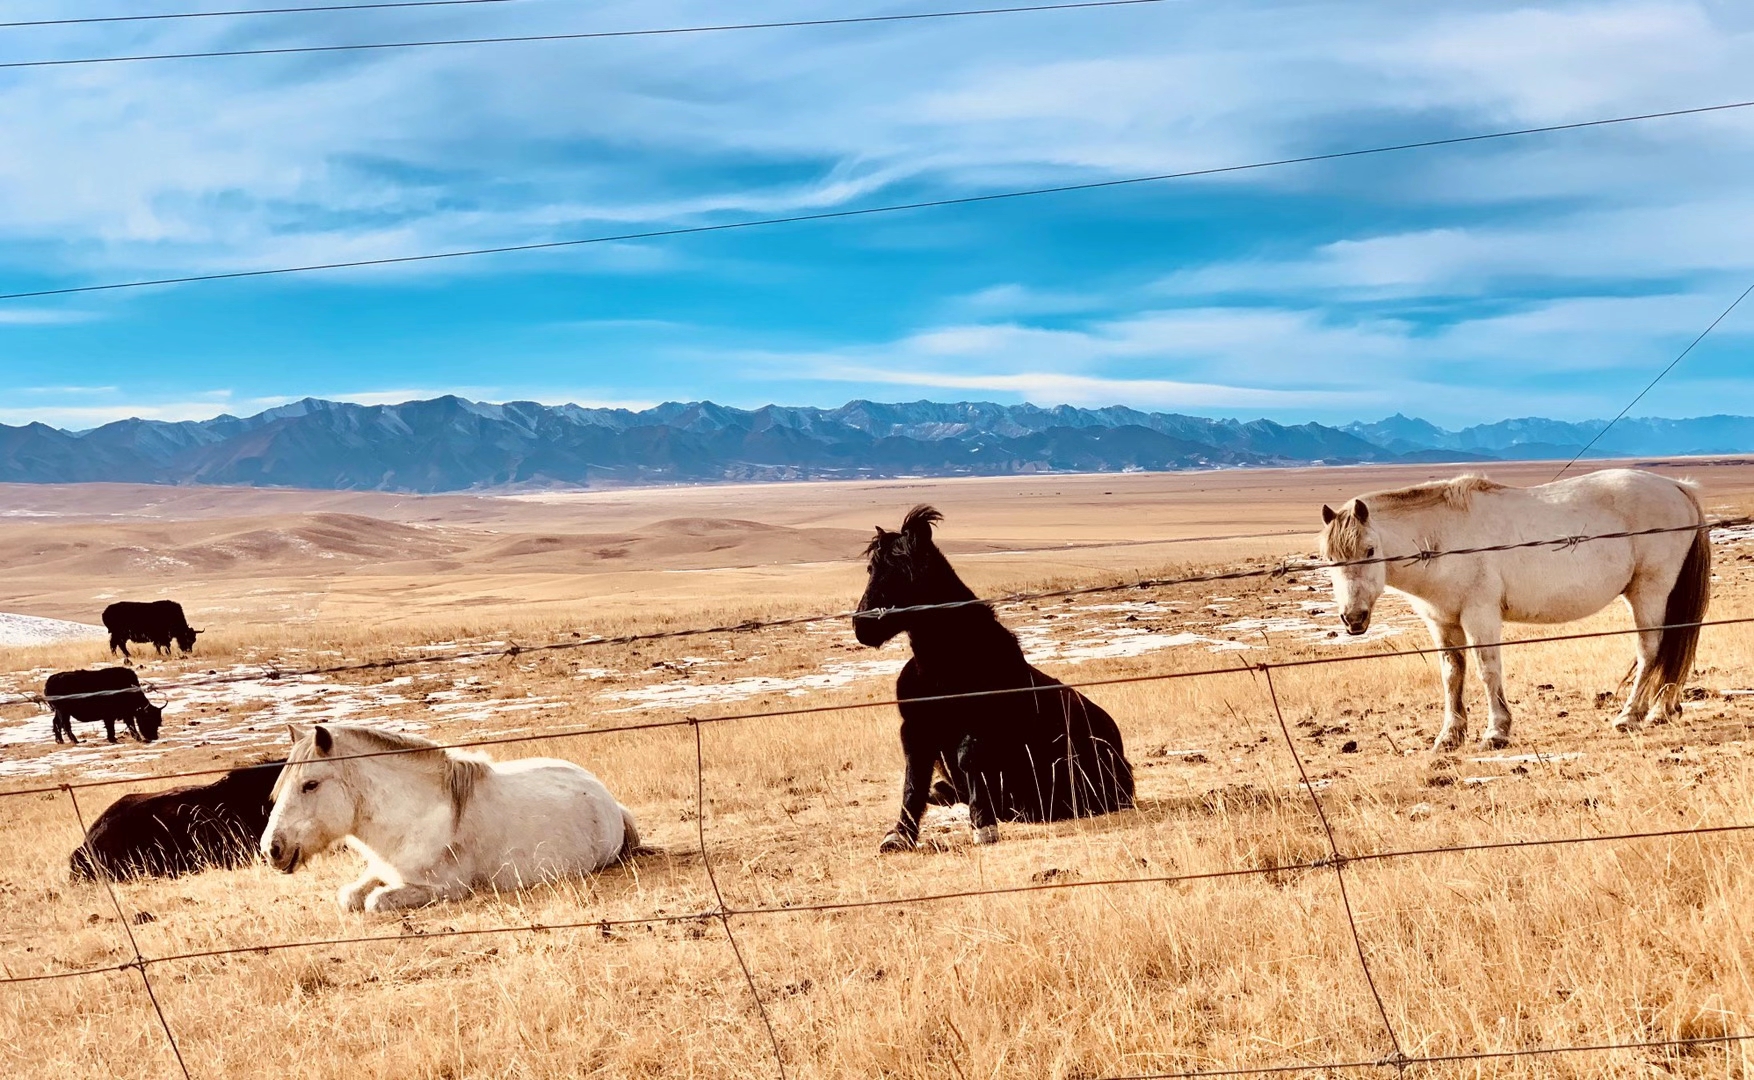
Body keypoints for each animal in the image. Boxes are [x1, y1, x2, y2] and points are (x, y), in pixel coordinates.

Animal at [261, 724, 640, 913]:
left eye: (310, 784)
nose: (271, 849)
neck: (416, 818)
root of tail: (606, 797)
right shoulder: (381, 872)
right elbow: (351, 895)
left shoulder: (445, 889)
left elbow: (374, 901)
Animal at [854, 505, 1135, 851]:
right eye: (872, 568)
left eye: (908, 571)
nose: (862, 625)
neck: (941, 670)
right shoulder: (916, 731)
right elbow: (914, 779)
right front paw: (899, 835)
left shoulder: (980, 725)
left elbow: (969, 759)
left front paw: (983, 824)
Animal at [1319, 469, 1710, 751]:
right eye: (1329, 558)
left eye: (1370, 550)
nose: (1353, 618)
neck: (1443, 539)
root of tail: (1676, 486)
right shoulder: (1442, 622)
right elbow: (1452, 673)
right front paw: (1450, 735)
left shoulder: (1480, 616)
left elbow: (1487, 671)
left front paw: (1496, 732)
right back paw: (1663, 710)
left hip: (1649, 592)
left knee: (1651, 651)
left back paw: (1631, 716)